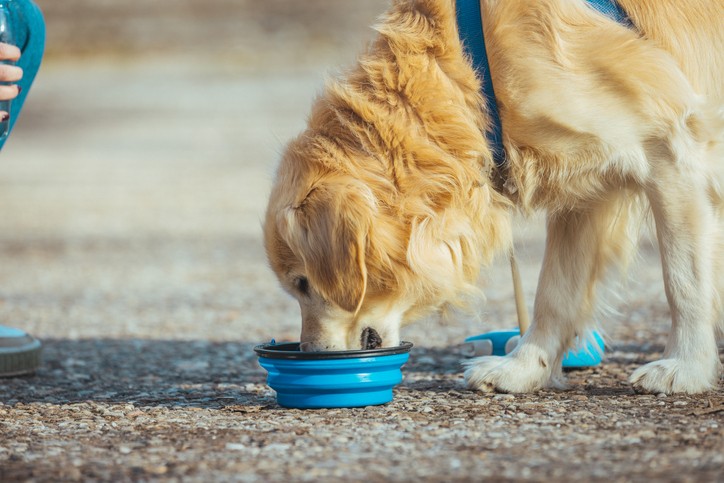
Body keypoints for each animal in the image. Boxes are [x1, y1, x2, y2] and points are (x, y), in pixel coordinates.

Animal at [264, 0, 724, 396]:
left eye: (303, 283)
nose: (306, 353)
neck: (470, 75)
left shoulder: (673, 147)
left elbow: (683, 279)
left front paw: (685, 369)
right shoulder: (587, 187)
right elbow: (554, 292)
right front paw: (523, 370)